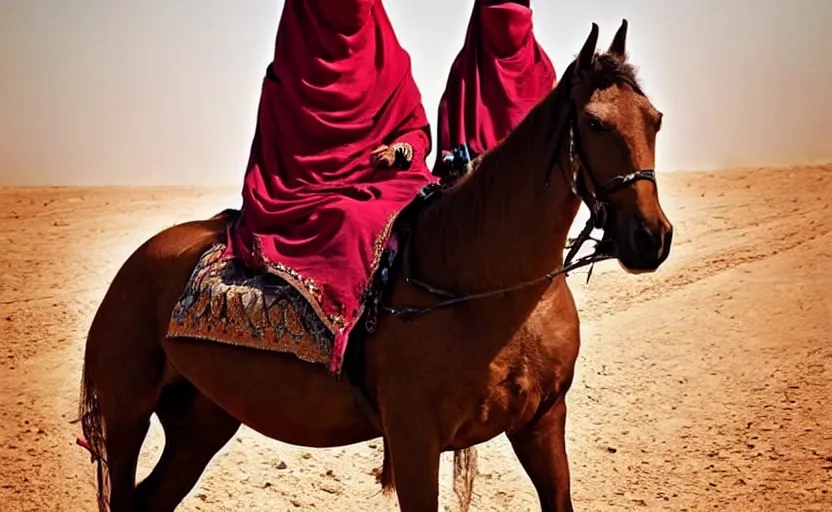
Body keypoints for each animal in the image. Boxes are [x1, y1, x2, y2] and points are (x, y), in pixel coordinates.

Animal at [78, 21, 672, 512]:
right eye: (594, 123)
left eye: (656, 121)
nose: (652, 239)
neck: (490, 291)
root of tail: (134, 263)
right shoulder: (413, 440)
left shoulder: (542, 423)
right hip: (127, 412)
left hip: (202, 420)